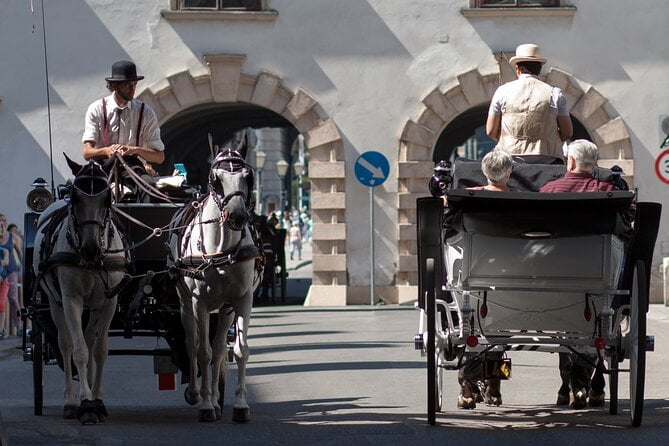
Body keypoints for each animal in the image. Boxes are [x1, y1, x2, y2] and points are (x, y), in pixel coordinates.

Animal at [33, 156, 129, 426]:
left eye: (107, 199)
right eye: (75, 198)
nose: (90, 249)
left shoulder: (108, 301)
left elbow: (99, 350)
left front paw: (97, 400)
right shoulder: (71, 299)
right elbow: (79, 352)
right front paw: (86, 404)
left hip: (93, 306)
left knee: (89, 338)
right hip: (55, 302)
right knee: (66, 343)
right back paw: (71, 401)